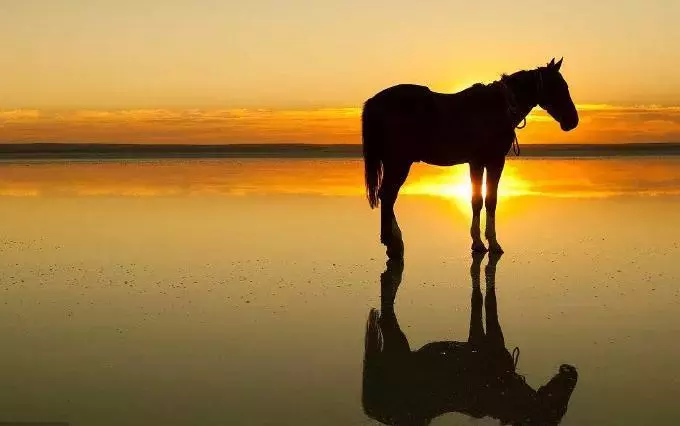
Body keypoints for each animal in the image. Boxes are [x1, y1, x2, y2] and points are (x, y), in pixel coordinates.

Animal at [362, 56, 580, 256]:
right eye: (558, 87)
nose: (573, 121)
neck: (498, 107)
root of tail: (374, 102)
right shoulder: (492, 162)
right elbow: (487, 200)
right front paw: (489, 243)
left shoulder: (478, 163)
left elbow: (479, 200)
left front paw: (480, 241)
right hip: (398, 163)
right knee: (388, 195)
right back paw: (392, 242)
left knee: (387, 196)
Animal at [364, 251, 576, 424]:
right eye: (559, 409)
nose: (571, 371)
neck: (502, 393)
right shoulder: (489, 338)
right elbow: (487, 304)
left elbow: (478, 302)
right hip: (397, 346)